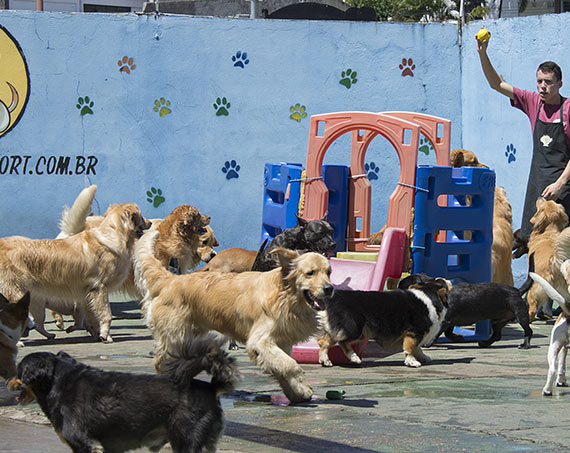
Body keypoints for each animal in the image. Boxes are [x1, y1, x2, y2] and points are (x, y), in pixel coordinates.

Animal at [0, 202, 150, 343]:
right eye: (141, 215)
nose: (150, 223)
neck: (113, 234)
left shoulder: (88, 295)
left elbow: (92, 317)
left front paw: (99, 334)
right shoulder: (99, 288)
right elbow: (106, 314)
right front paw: (106, 335)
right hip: (16, 292)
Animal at [8, 333, 239, 451]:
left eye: (18, 371)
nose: (8, 379)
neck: (58, 383)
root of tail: (210, 387)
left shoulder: (84, 444)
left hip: (187, 441)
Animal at [135, 229, 334, 403]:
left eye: (329, 272)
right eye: (310, 273)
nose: (329, 288)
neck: (284, 295)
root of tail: (170, 279)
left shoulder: (282, 342)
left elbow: (282, 367)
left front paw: (295, 392)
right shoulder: (260, 341)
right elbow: (291, 365)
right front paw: (303, 388)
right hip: (175, 336)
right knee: (160, 363)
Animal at [317, 273, 451, 368]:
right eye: (443, 282)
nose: (449, 280)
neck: (429, 295)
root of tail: (333, 299)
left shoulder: (416, 335)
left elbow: (418, 349)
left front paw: (423, 358)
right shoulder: (414, 332)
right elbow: (410, 348)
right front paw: (412, 362)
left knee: (323, 342)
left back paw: (325, 360)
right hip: (355, 329)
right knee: (343, 342)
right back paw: (354, 358)